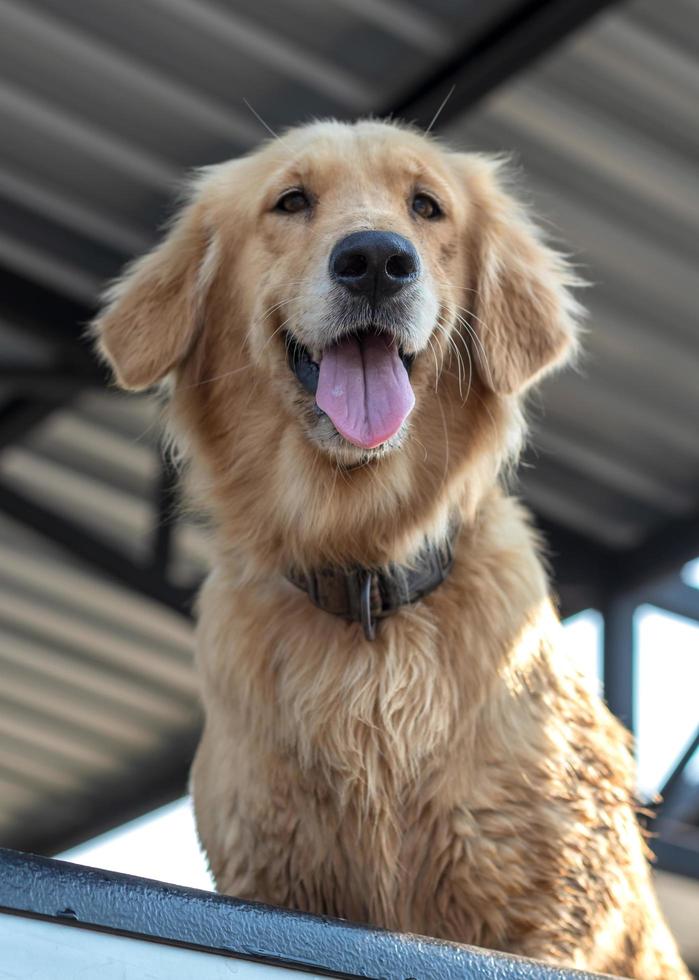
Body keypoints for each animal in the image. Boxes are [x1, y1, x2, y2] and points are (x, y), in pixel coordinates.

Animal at [93, 118, 688, 976]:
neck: (367, 571)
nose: (375, 259)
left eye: (426, 206)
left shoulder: (545, 920)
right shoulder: (271, 884)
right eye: (291, 200)